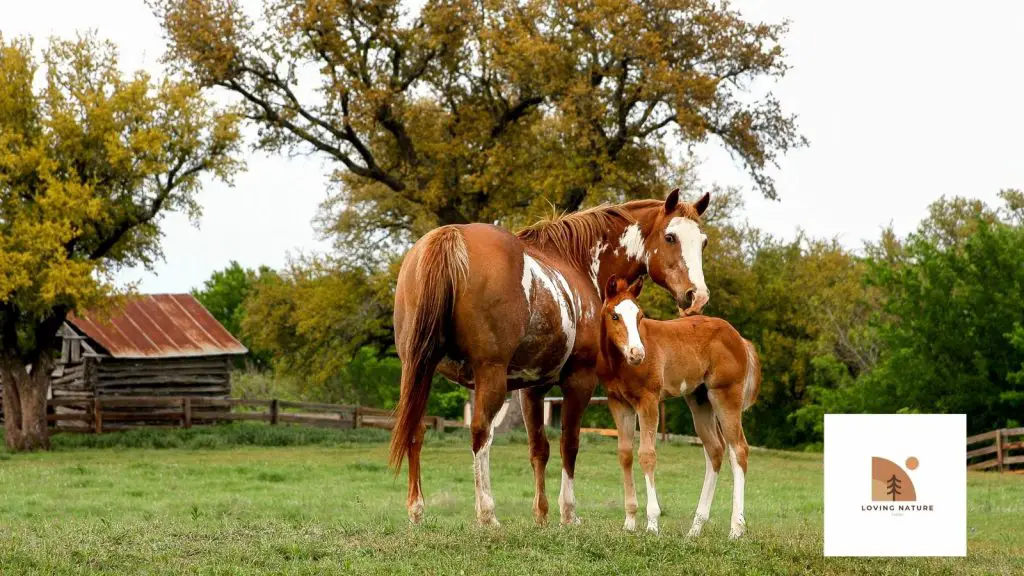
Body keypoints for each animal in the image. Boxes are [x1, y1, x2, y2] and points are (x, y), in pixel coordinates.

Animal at [391, 189, 712, 524]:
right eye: (670, 237)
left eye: (702, 241)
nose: (697, 296)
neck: (578, 263)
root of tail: (449, 236)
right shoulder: (580, 380)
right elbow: (569, 444)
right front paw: (568, 512)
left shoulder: (531, 389)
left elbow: (539, 448)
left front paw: (541, 514)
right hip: (488, 375)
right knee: (480, 433)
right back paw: (487, 514)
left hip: (417, 369)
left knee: (415, 428)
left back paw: (417, 509)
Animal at [593, 276, 761, 537]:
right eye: (614, 316)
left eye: (640, 316)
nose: (637, 353)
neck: (620, 364)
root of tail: (739, 338)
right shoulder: (618, 403)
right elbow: (625, 454)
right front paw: (629, 522)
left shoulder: (649, 400)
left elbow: (647, 454)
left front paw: (652, 524)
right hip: (699, 400)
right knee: (715, 449)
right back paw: (695, 528)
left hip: (725, 395)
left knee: (739, 450)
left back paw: (736, 528)